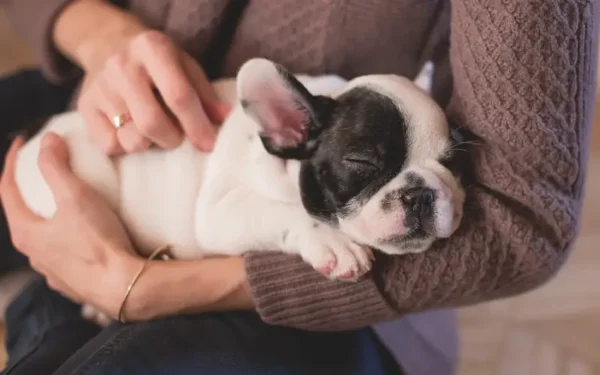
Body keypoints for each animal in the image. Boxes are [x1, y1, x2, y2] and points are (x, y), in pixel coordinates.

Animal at [10, 58, 468, 324]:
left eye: (452, 162)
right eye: (363, 163)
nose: (421, 193)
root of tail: (35, 133)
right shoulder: (220, 212)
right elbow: (283, 211)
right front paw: (333, 243)